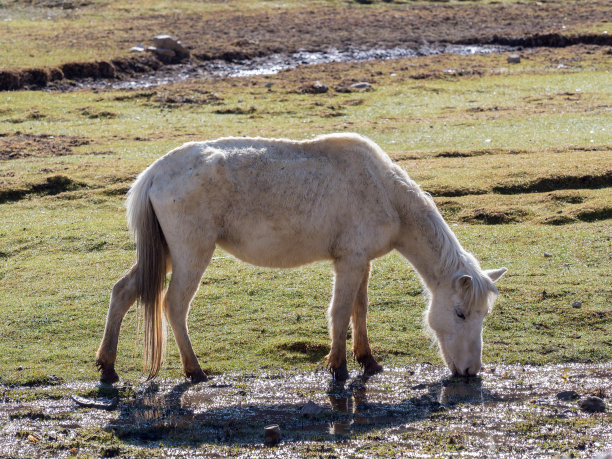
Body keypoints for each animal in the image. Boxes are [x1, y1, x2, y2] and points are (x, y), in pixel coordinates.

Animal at [97, 133, 506, 384]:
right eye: (460, 313)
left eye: (483, 315)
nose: (471, 370)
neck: (384, 191)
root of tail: (155, 172)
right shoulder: (349, 261)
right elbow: (340, 313)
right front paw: (338, 368)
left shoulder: (362, 263)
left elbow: (359, 310)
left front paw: (368, 361)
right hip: (190, 255)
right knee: (174, 306)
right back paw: (194, 371)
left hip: (164, 255)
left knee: (122, 292)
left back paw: (108, 368)